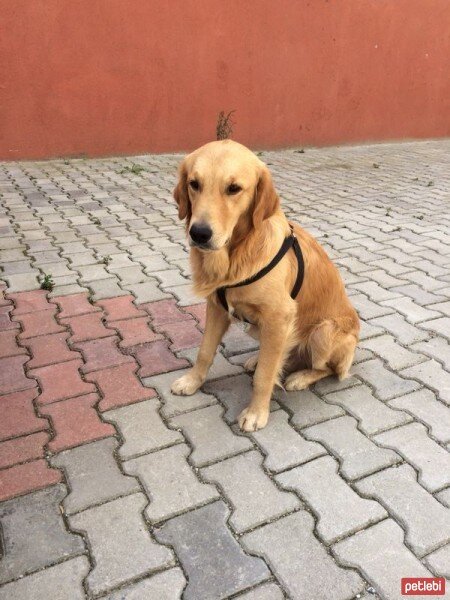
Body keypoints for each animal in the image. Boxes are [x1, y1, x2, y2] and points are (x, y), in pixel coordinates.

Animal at [171, 141, 360, 432]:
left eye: (234, 188)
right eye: (194, 183)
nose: (199, 233)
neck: (236, 254)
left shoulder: (279, 317)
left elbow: (265, 376)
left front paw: (256, 412)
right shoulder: (217, 308)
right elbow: (204, 352)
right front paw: (192, 381)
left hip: (324, 332)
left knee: (327, 369)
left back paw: (300, 377)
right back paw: (258, 359)